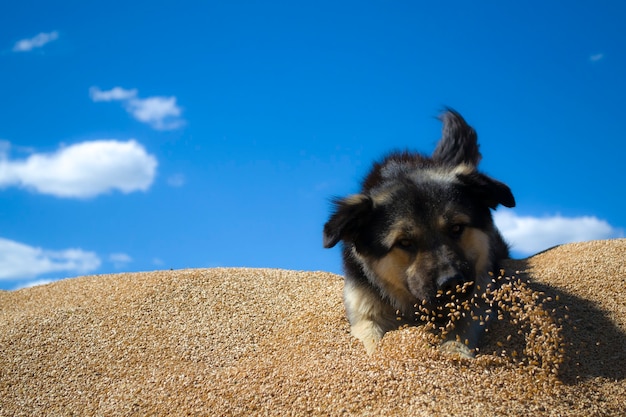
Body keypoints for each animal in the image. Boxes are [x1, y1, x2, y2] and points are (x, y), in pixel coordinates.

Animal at [324, 108, 516, 358]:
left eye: (456, 228)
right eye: (404, 242)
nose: (451, 283)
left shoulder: (479, 295)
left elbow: (463, 327)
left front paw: (454, 354)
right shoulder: (363, 310)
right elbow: (371, 343)